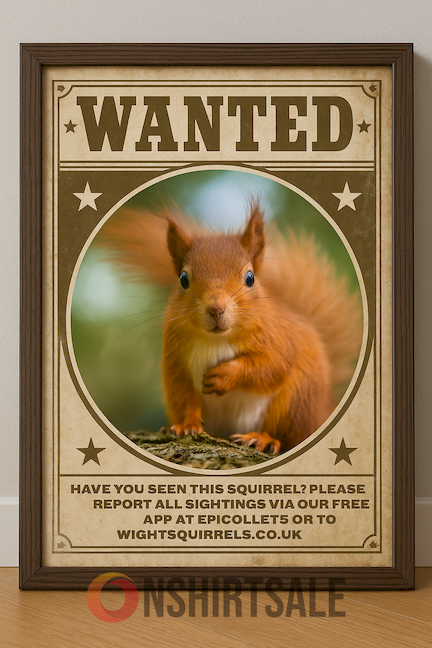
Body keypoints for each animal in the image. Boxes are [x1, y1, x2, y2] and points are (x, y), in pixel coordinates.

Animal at [100, 198, 362, 455]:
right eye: (183, 279)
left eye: (250, 278)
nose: (216, 309)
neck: (216, 340)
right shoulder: (176, 359)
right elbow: (185, 395)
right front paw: (186, 425)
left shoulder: (280, 340)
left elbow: (272, 366)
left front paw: (223, 376)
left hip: (295, 402)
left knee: (285, 433)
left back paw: (262, 438)